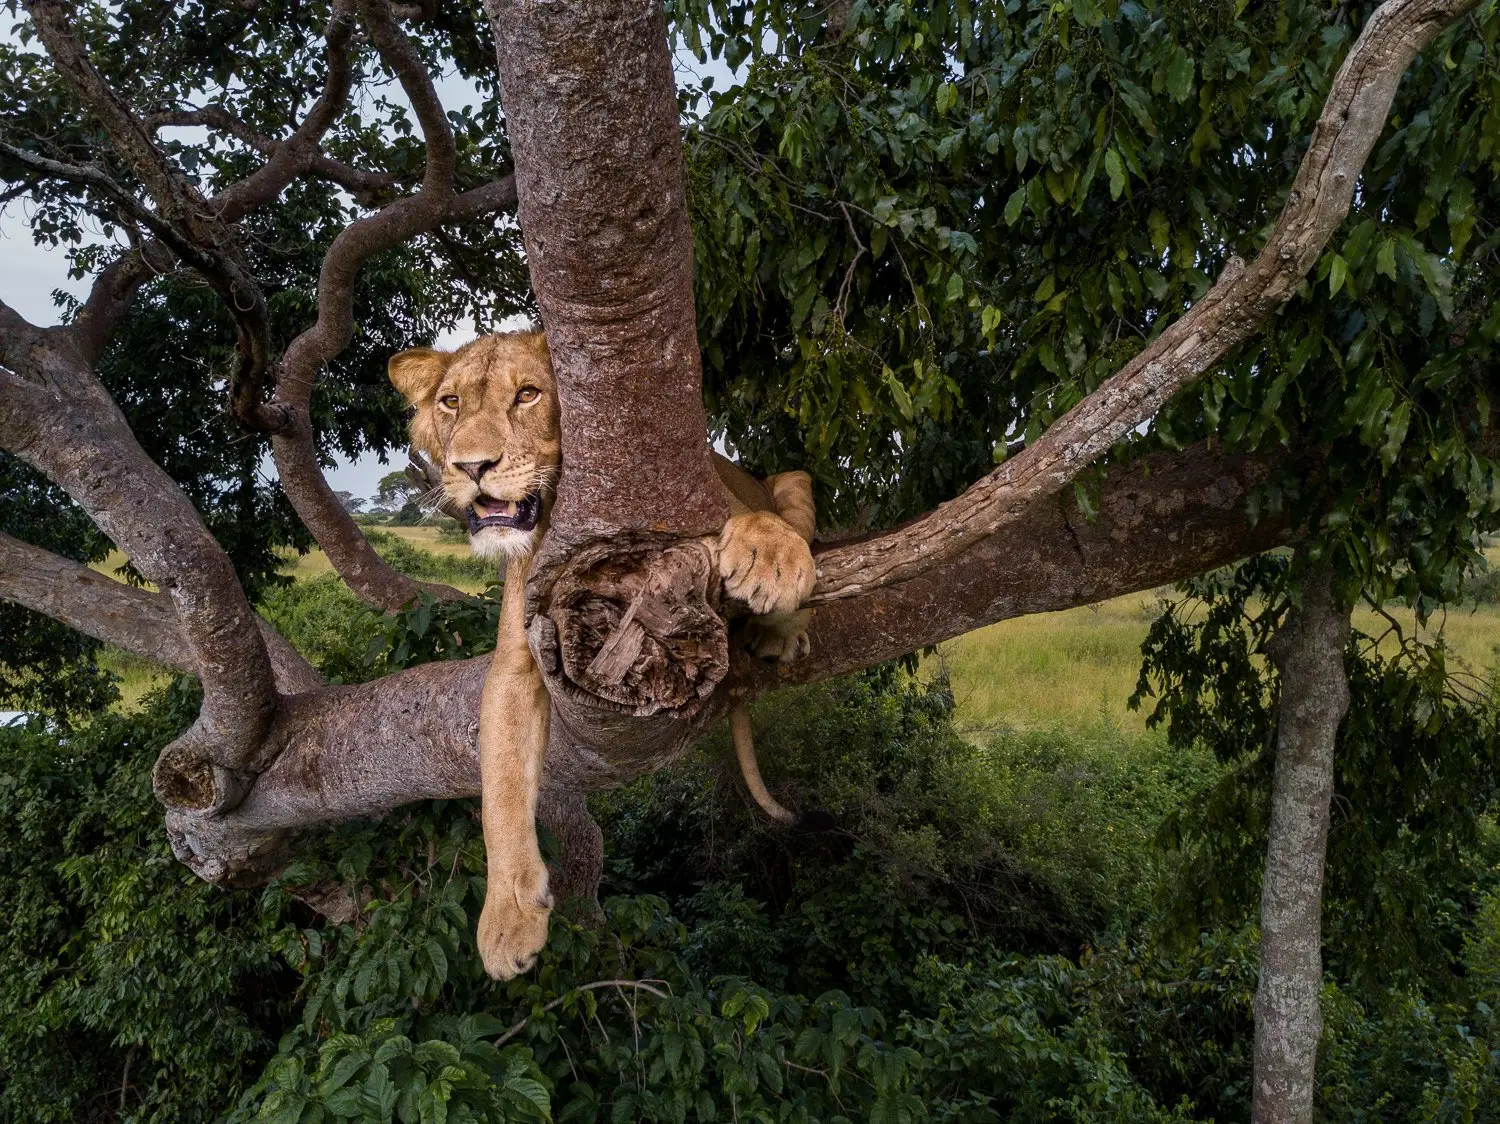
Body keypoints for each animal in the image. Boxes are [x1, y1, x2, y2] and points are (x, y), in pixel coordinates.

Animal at [388, 329, 818, 979]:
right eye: (451, 403)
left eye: (528, 394)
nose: (472, 467)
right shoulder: (514, 664)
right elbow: (499, 793)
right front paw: (508, 917)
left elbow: (748, 520)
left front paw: (770, 554)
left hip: (794, 478)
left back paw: (782, 625)